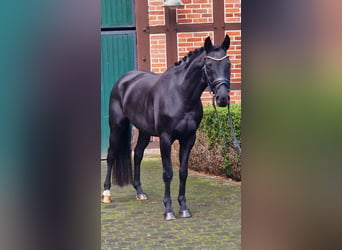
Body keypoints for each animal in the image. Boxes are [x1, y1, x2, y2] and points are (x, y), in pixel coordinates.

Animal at [101, 35, 230, 221]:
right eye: (209, 65)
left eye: (228, 64)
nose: (222, 98)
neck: (180, 94)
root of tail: (123, 80)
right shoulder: (166, 139)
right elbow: (167, 173)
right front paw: (168, 210)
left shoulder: (189, 139)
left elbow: (183, 172)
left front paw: (183, 208)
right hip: (116, 126)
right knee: (111, 155)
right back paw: (106, 194)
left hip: (144, 132)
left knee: (138, 154)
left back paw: (140, 192)